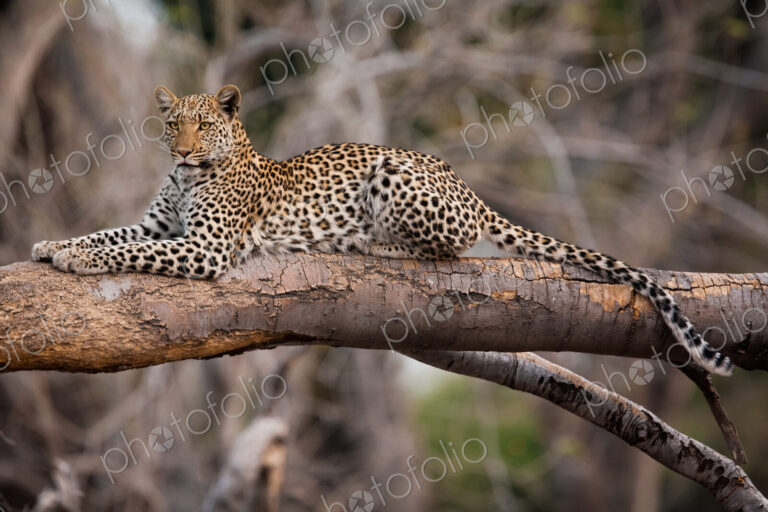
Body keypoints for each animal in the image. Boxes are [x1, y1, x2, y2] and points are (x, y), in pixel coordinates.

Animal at [31, 84, 733, 376]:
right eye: (171, 123)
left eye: (203, 125)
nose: (179, 152)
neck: (190, 178)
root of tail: (468, 188)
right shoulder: (160, 223)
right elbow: (115, 233)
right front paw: (54, 244)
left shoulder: (204, 248)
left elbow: (127, 249)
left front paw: (73, 259)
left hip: (396, 173)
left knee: (448, 249)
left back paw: (372, 242)